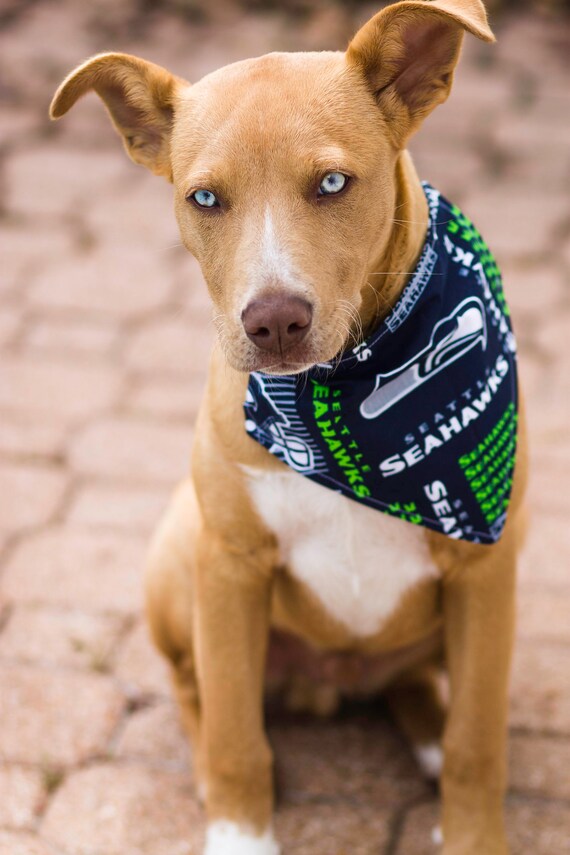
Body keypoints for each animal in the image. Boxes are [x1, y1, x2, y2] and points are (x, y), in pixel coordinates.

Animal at [51, 3, 524, 852]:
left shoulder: (486, 570)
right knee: (196, 692)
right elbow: (238, 732)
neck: (343, 397)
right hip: (180, 553)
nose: (273, 321)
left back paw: (430, 736)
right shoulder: (230, 565)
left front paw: (472, 827)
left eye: (333, 182)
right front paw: (240, 829)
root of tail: (326, 683)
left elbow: (479, 740)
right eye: (205, 198)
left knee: (421, 686)